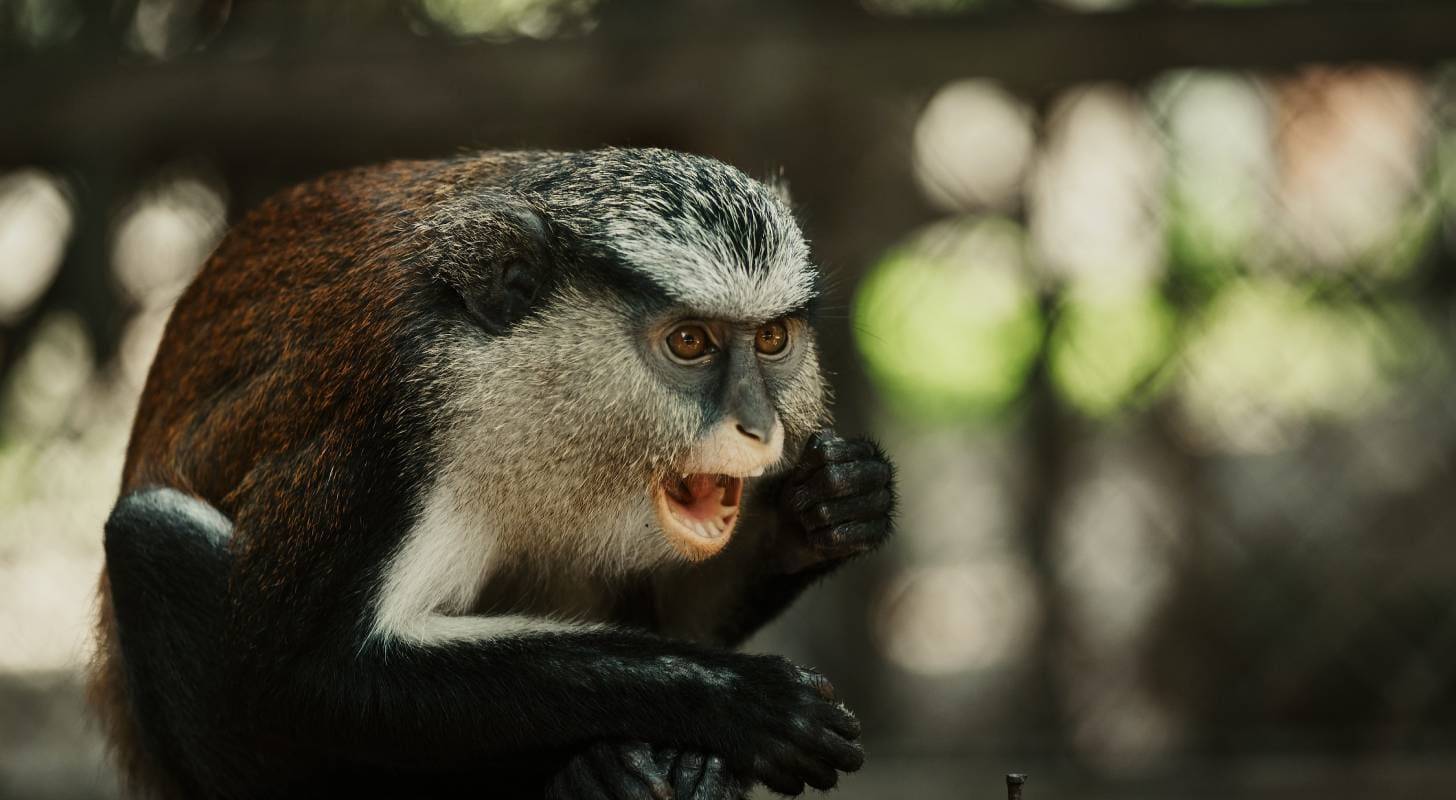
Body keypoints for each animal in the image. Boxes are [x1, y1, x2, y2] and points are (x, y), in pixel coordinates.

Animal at [89, 148, 897, 799]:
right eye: (691, 342)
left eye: (772, 338)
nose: (759, 428)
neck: (503, 376)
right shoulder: (385, 424)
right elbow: (307, 673)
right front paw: (740, 701)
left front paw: (831, 505)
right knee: (146, 535)